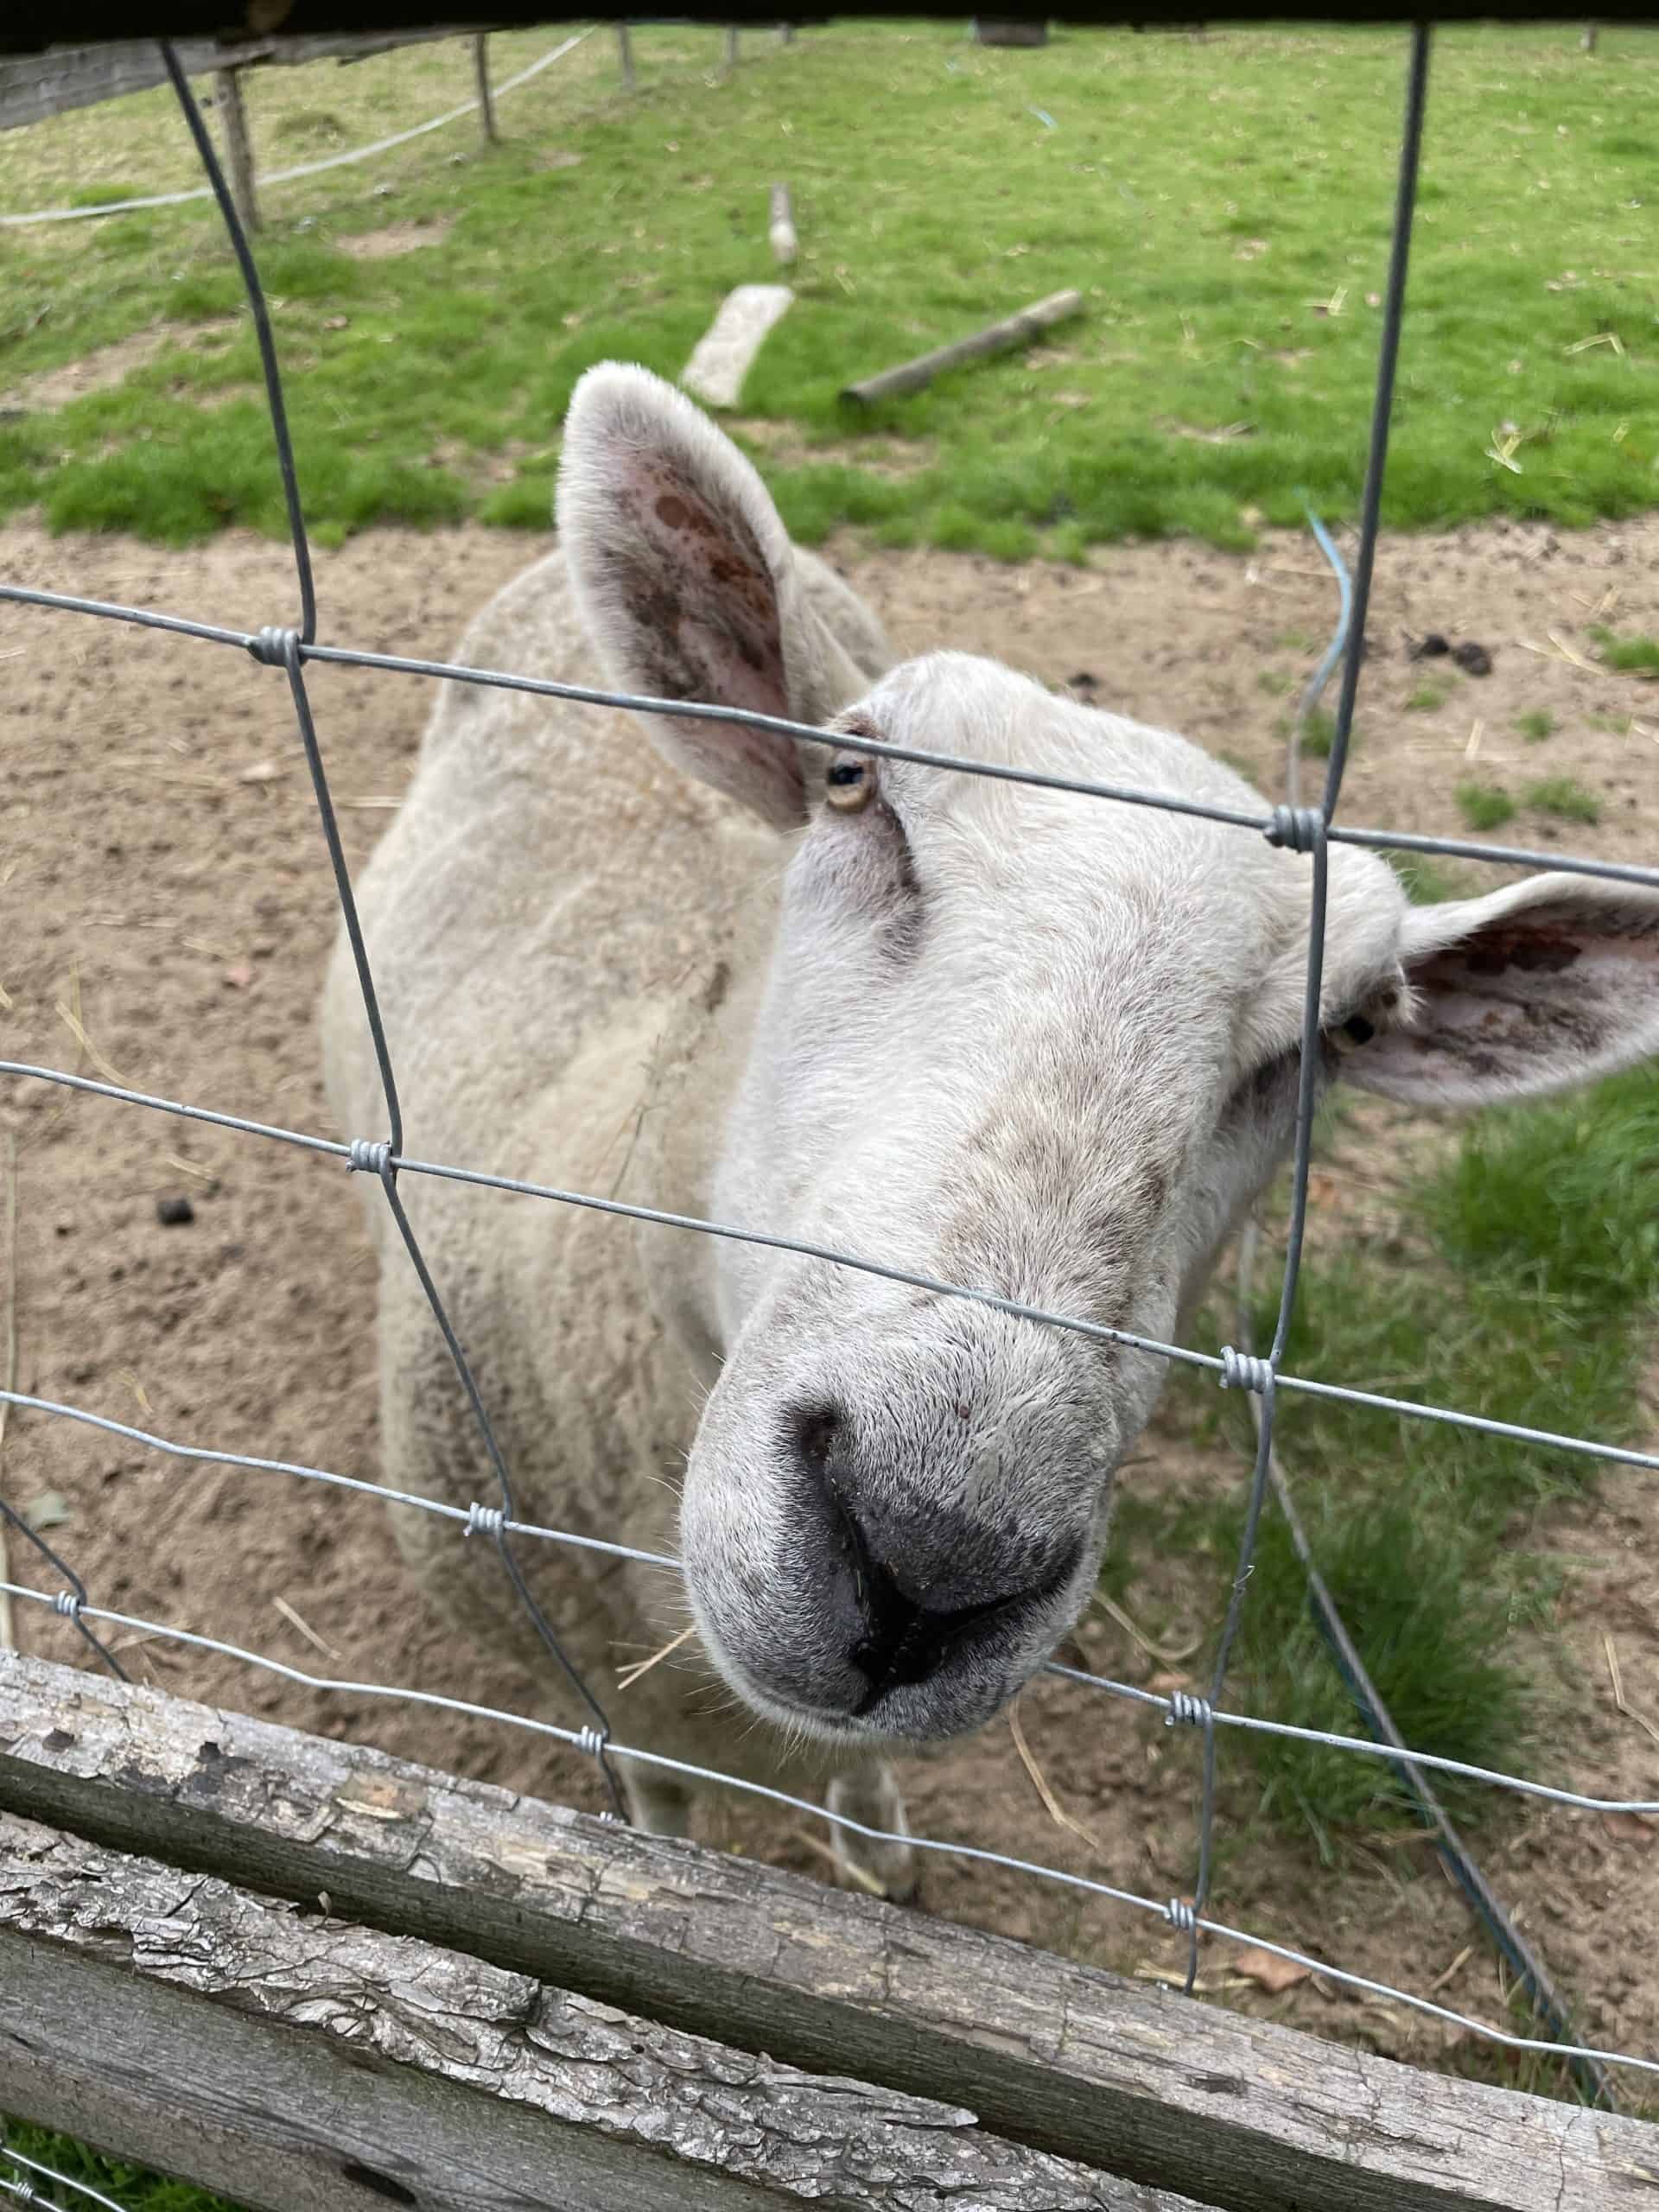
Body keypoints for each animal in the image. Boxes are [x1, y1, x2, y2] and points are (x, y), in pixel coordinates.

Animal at [322, 362, 1659, 1901]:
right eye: (854, 782)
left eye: (1353, 1025)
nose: (935, 1549)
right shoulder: (584, 1667)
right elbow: (653, 1793)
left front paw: (877, 1849)